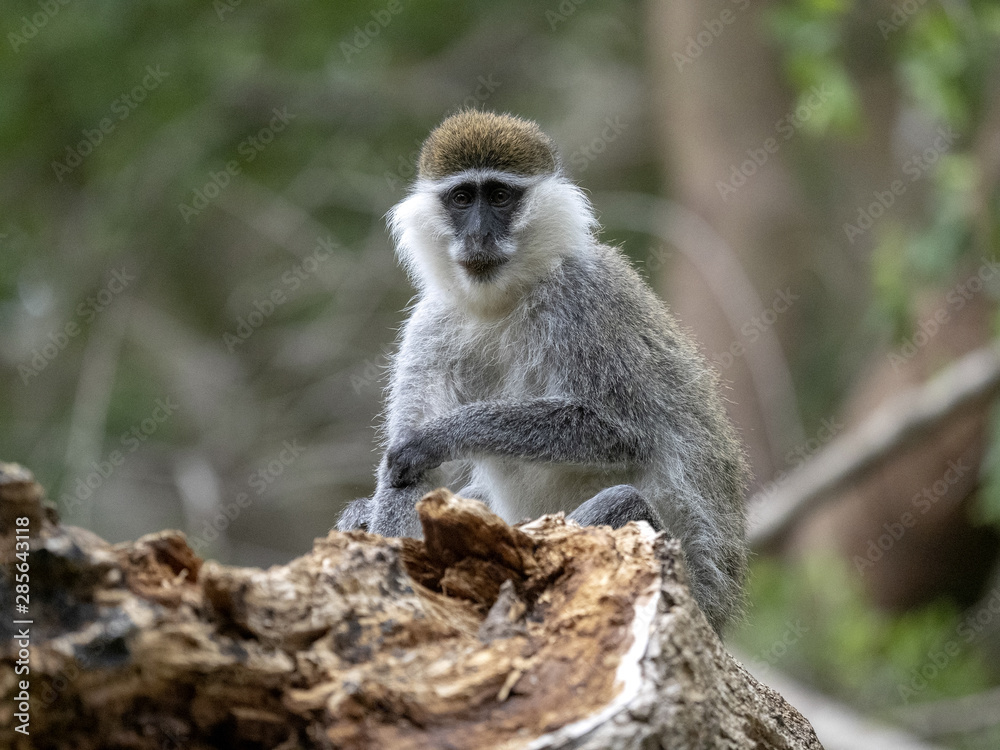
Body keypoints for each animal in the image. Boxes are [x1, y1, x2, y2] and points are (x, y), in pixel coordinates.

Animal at [338, 110, 749, 633]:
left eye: (499, 195)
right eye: (462, 198)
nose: (478, 236)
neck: (503, 301)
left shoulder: (581, 300)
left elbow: (620, 431)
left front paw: (440, 435)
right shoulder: (431, 323)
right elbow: (410, 480)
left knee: (622, 503)